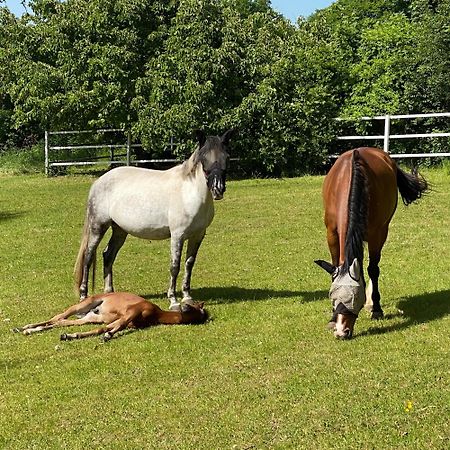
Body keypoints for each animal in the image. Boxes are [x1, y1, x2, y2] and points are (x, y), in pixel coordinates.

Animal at [13, 292, 208, 342]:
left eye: (197, 308)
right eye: (194, 304)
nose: (183, 305)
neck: (156, 314)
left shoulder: (124, 321)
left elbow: (102, 329)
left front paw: (70, 336)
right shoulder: (131, 312)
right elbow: (114, 328)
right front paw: (108, 336)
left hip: (90, 317)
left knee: (61, 322)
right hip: (82, 305)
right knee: (57, 317)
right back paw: (24, 328)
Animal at [74, 129, 236, 310]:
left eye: (227, 156)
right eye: (204, 158)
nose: (218, 189)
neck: (189, 192)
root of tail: (98, 182)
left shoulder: (198, 235)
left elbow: (189, 264)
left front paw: (187, 297)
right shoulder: (177, 236)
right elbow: (175, 266)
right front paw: (173, 301)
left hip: (120, 230)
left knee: (108, 255)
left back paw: (110, 293)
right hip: (98, 226)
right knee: (88, 256)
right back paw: (83, 296)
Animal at [314, 146, 428, 340]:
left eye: (354, 298)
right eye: (333, 296)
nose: (341, 332)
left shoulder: (377, 234)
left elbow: (373, 270)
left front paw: (376, 308)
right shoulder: (331, 233)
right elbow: (336, 265)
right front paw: (331, 319)